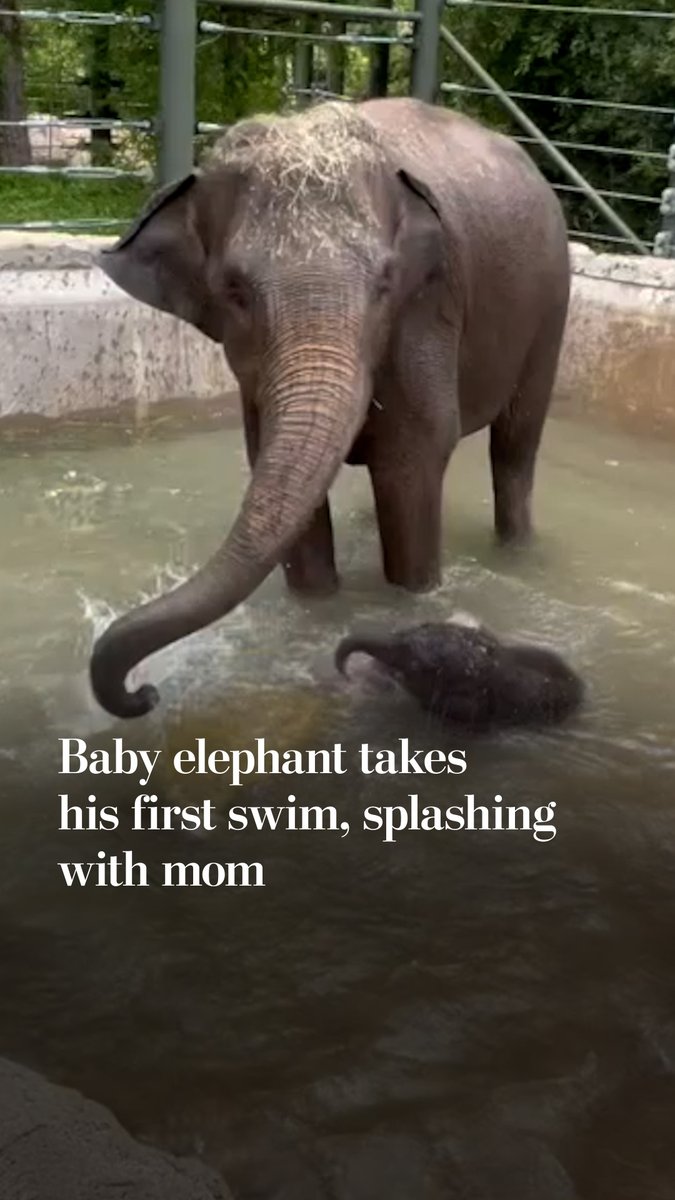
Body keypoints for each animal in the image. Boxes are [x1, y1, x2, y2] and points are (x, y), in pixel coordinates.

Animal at [90, 97, 570, 719]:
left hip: (552, 305)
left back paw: (517, 551)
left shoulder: (427, 311)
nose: (144, 691)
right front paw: (317, 611)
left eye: (385, 282)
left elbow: (413, 459)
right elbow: (280, 474)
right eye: (234, 290)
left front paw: (412, 599)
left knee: (515, 447)